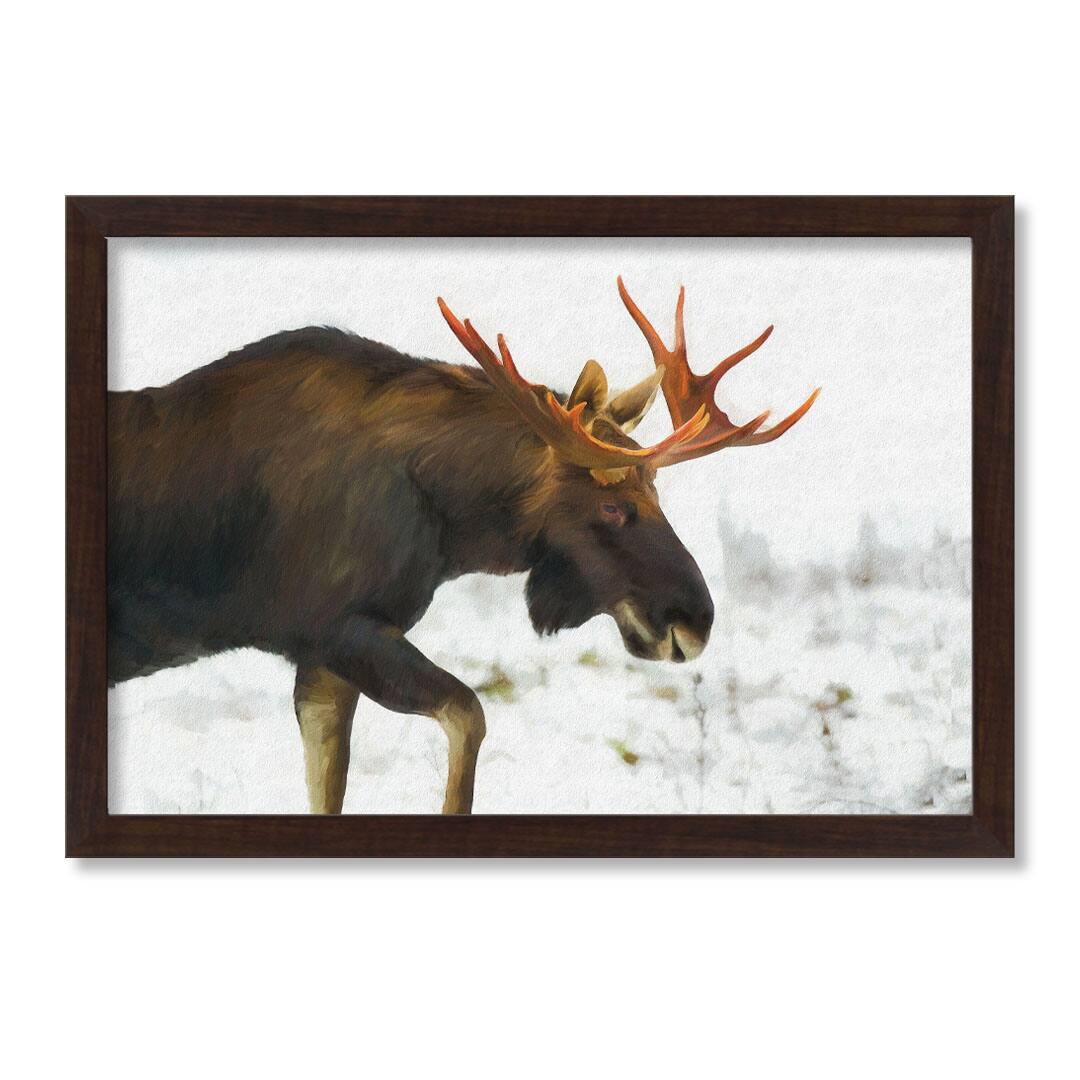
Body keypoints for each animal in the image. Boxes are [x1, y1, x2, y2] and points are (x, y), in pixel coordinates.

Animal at [108, 277, 818, 814]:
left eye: (658, 493)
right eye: (614, 504)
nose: (694, 618)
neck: (451, 521)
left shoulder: (324, 655)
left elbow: (330, 787)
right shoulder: (336, 626)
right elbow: (470, 713)